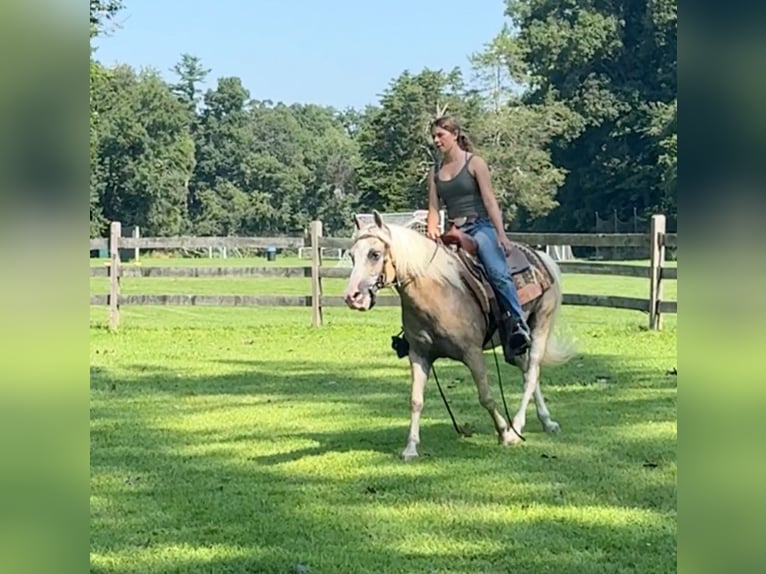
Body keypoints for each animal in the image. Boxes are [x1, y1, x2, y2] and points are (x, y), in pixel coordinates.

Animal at [344, 212, 576, 464]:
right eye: (351, 255)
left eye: (375, 254)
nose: (352, 297)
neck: (437, 292)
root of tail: (542, 258)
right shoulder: (419, 355)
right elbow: (416, 401)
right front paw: (411, 448)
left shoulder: (472, 353)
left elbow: (485, 396)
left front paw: (505, 433)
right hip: (511, 346)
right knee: (528, 373)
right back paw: (547, 421)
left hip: (541, 324)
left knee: (532, 373)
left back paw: (517, 426)